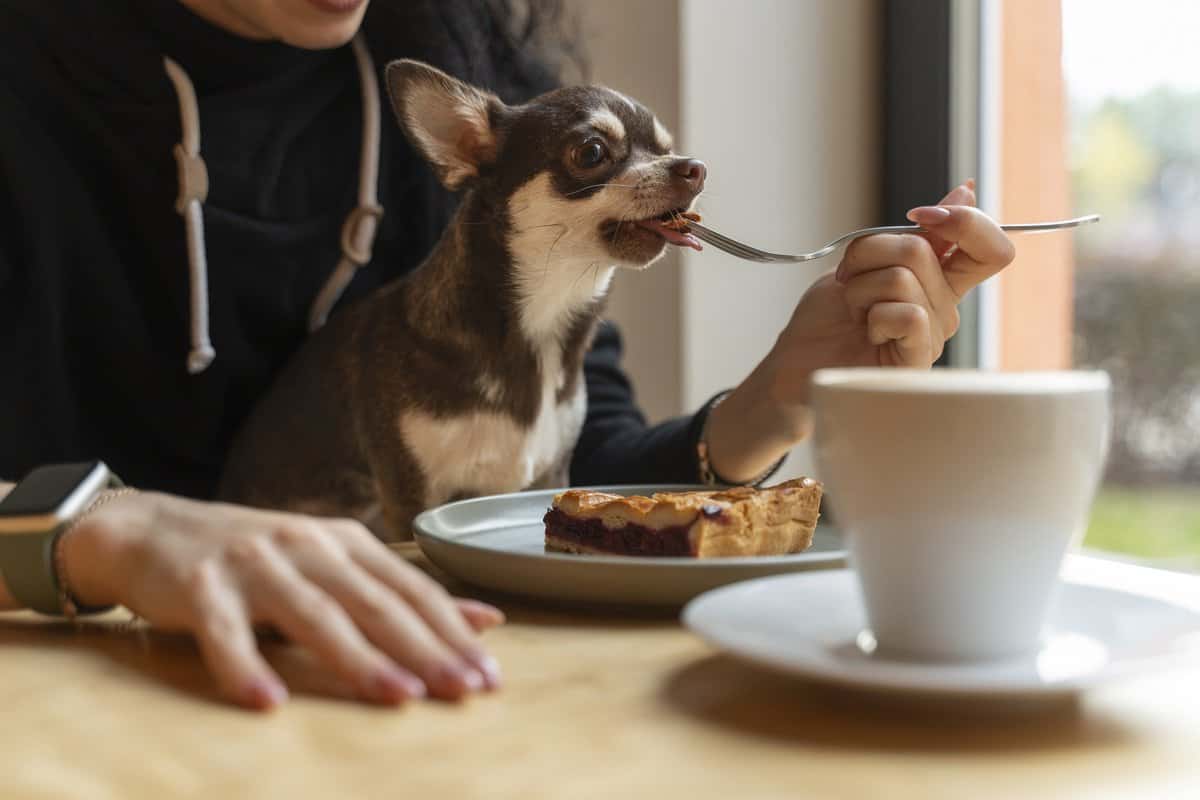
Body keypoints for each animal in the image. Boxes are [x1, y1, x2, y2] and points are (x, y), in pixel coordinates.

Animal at [218, 59, 700, 542]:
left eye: (666, 148)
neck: (540, 326)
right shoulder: (411, 493)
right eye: (591, 152)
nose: (693, 167)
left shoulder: (551, 474)